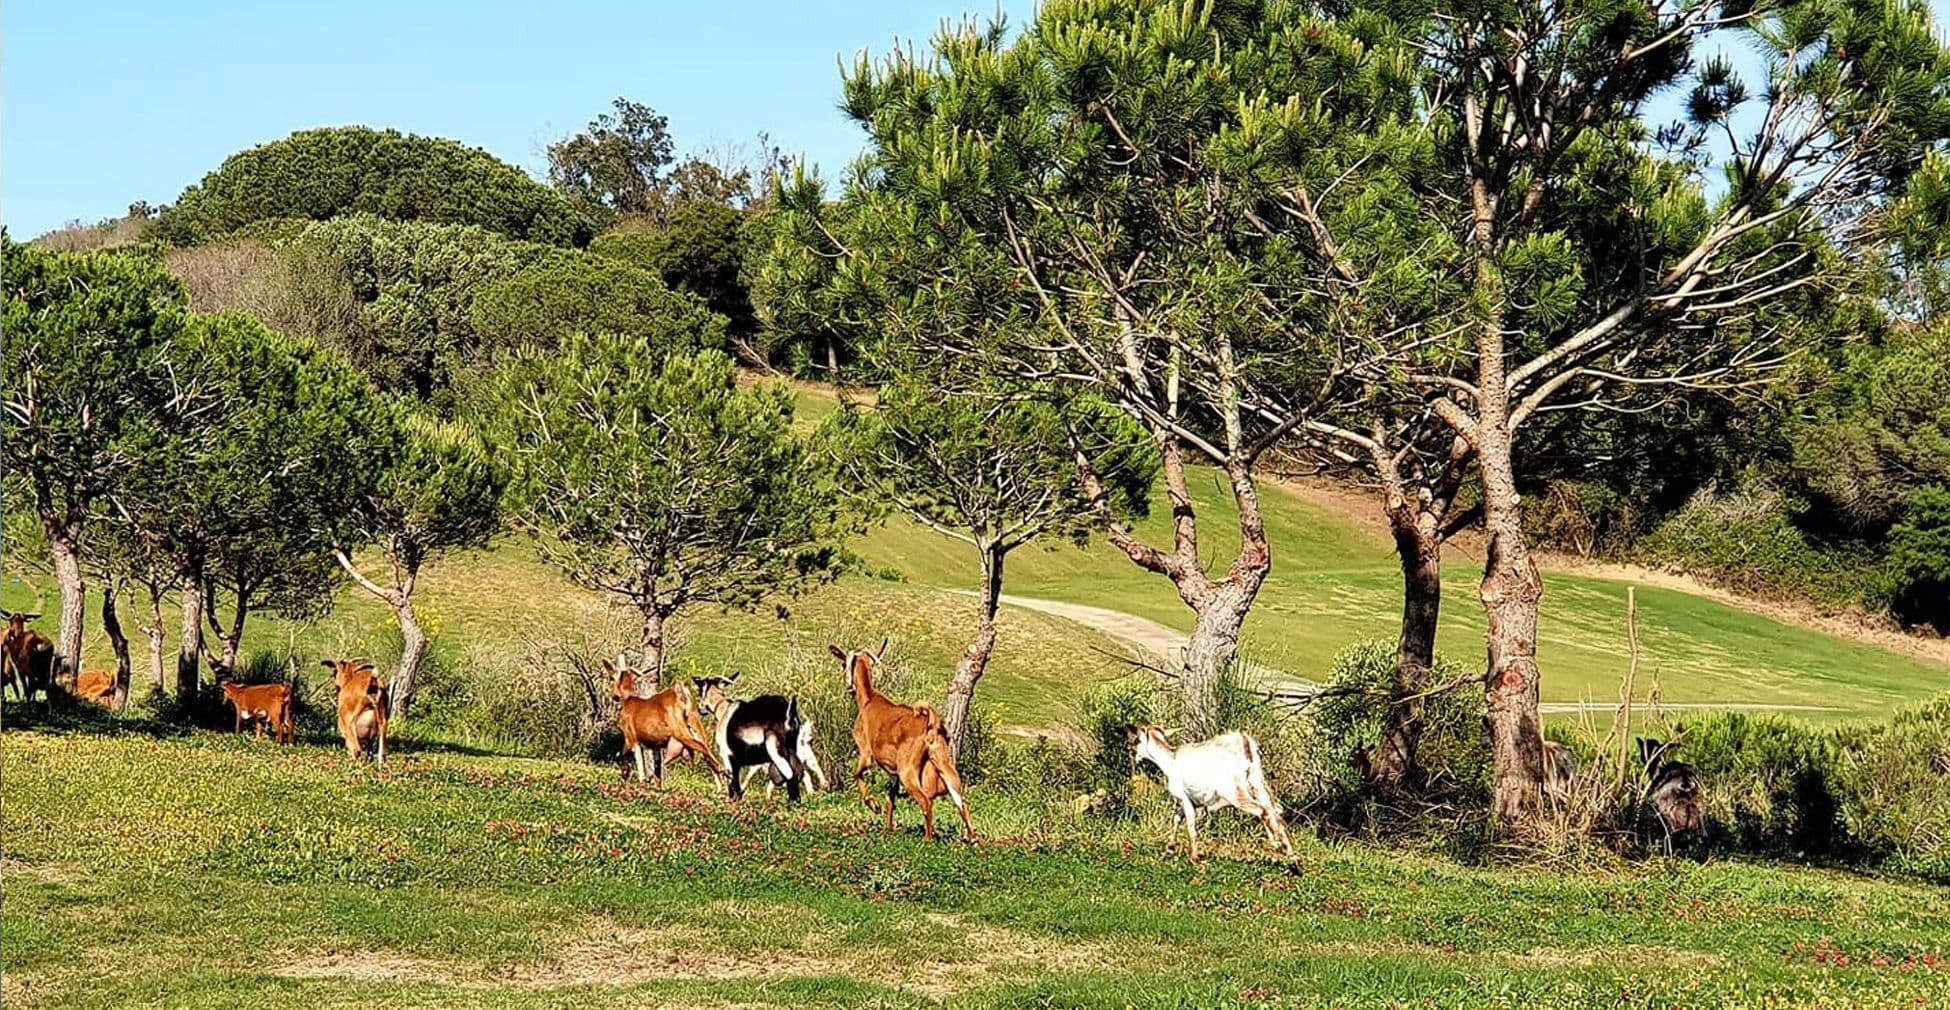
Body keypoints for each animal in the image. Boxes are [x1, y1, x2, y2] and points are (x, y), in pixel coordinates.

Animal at [609, 657, 725, 786]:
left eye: (612, 678)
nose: (614, 696)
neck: (628, 700)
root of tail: (682, 695)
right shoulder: (655, 745)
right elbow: (657, 771)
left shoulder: (631, 738)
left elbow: (629, 759)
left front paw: (634, 779)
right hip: (696, 725)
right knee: (708, 751)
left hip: (680, 731)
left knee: (705, 750)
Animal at [697, 674, 825, 802]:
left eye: (700, 692)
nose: (699, 709)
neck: (723, 709)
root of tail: (789, 716)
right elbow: (738, 783)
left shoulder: (727, 755)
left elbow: (733, 782)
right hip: (794, 753)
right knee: (802, 774)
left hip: (776, 751)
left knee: (791, 775)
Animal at [833, 640, 972, 841]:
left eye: (844, 664)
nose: (848, 687)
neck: (869, 699)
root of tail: (930, 722)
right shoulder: (894, 773)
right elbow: (891, 799)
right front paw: (888, 829)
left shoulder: (866, 755)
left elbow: (857, 774)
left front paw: (873, 804)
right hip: (944, 766)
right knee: (961, 803)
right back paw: (971, 838)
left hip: (908, 771)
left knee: (926, 802)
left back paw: (928, 839)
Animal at [1131, 725, 1292, 863]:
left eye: (1137, 740)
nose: (1135, 756)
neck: (1171, 760)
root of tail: (1244, 741)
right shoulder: (1187, 802)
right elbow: (1176, 819)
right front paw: (1170, 846)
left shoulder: (1185, 799)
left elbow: (1190, 826)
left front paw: (1194, 857)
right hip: (1257, 785)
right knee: (1274, 812)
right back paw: (1289, 853)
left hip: (1236, 793)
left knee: (1263, 811)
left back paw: (1284, 850)